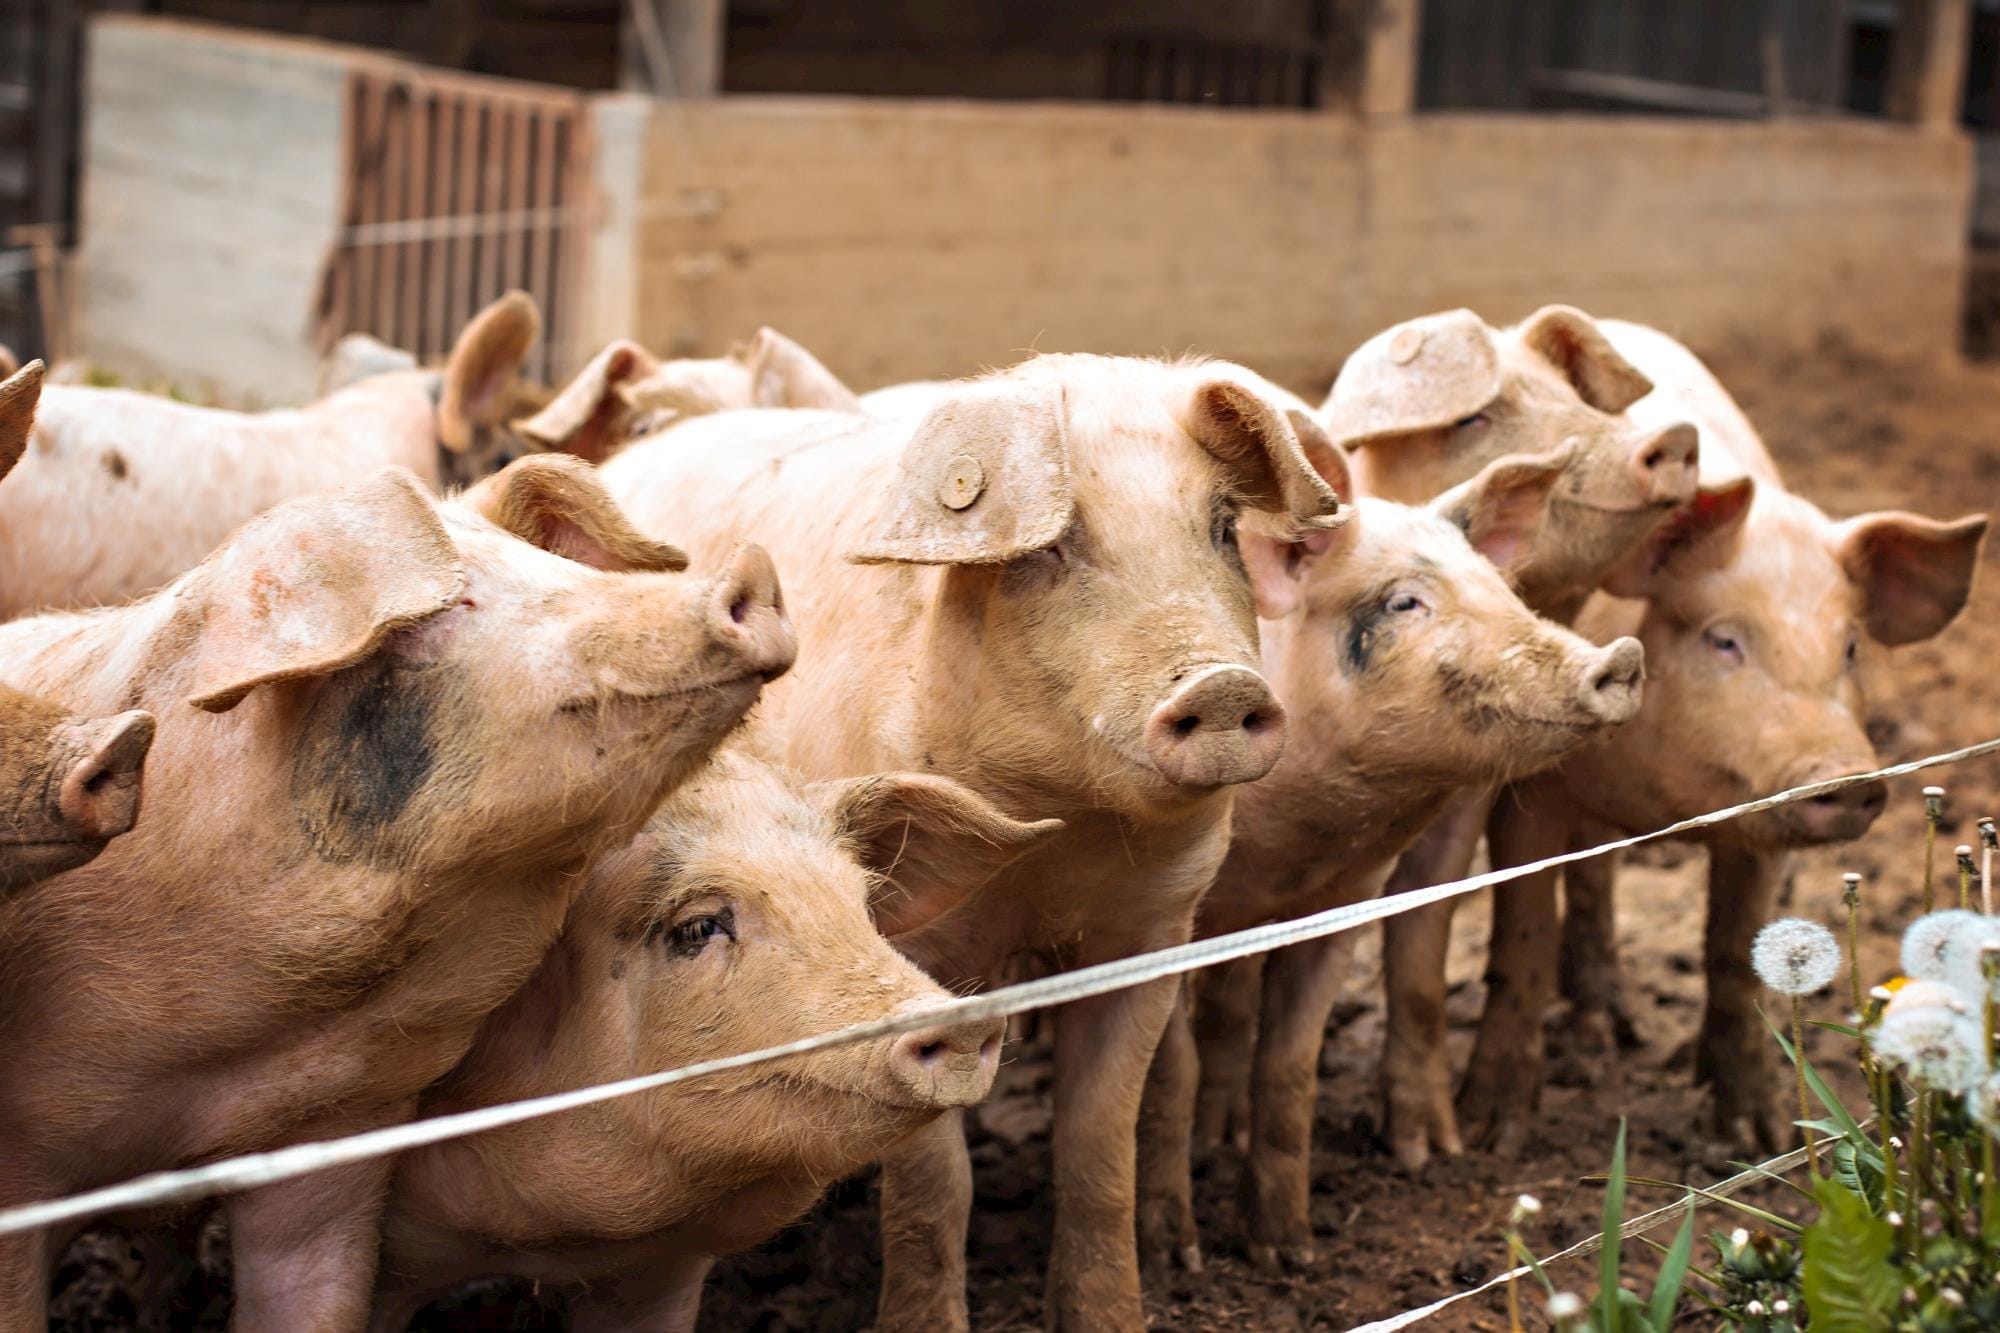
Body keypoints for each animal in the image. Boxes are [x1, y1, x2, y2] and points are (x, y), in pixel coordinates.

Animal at [599, 353, 1344, 1331]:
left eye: (1222, 528)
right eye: (1049, 549)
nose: (1221, 686)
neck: (1059, 843)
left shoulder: (1151, 933)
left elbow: (1098, 1141)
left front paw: (1114, 1315)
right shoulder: (913, 946)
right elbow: (935, 1181)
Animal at [1134, 441, 1645, 1272]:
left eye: (1499, 587)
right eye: (1405, 602)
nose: (1621, 656)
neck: (1292, 847)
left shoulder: (1342, 900)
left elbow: (1291, 1062)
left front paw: (1288, 1253)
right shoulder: (1160, 913)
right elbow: (1167, 1068)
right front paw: (1175, 1259)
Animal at [1315, 305, 1702, 1171]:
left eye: (1578, 397)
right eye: (1475, 418)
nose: (1672, 435)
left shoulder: (1468, 802)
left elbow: (1424, 951)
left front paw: (1436, 1151)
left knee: (1594, 873)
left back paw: (1610, 1030)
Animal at [1463, 322, 1987, 1151]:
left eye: (1849, 647)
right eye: (1723, 639)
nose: (1846, 776)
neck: (1661, 802)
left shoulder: (1764, 814)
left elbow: (1735, 956)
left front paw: (1759, 1137)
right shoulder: (1531, 790)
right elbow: (1522, 936)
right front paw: (1494, 1135)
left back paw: (1618, 1027)